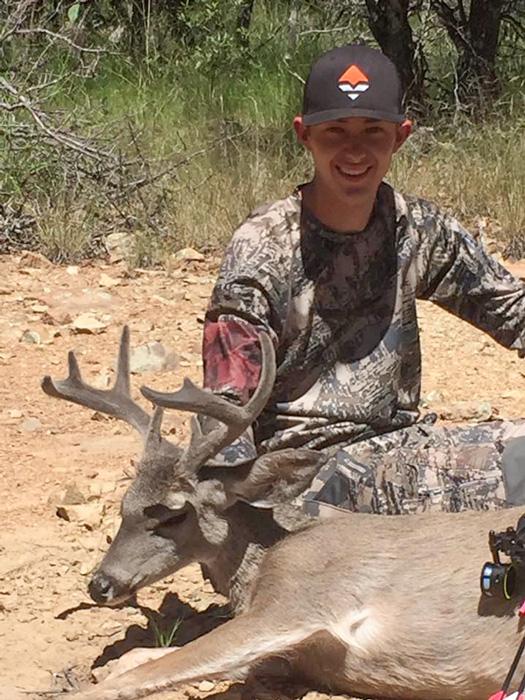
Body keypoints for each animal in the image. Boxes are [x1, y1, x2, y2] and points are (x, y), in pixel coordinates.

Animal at [42, 326, 525, 700]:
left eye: (173, 515)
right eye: (123, 505)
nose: (100, 584)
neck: (268, 555)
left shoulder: (298, 602)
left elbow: (141, 673)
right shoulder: (287, 657)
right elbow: (143, 658)